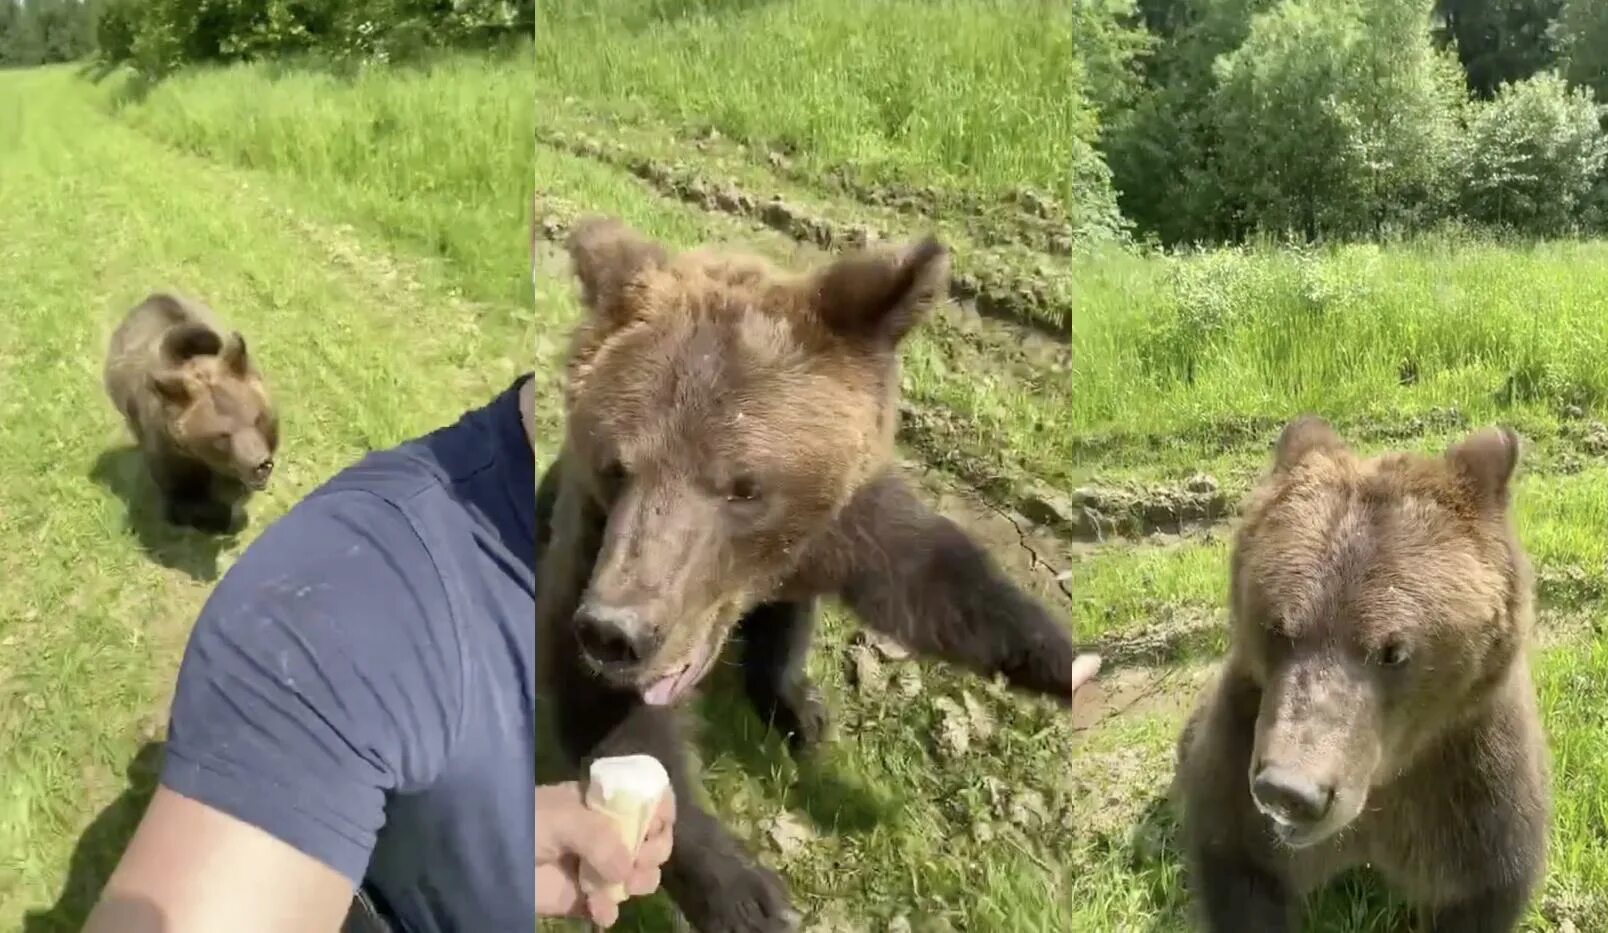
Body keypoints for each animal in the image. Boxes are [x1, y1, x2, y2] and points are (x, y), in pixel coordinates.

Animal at [103, 295, 279, 537]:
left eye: (257, 418)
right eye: (222, 435)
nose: (260, 464)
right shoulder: (169, 449)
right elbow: (184, 500)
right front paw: (221, 518)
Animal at [533, 215, 1099, 926]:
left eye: (744, 487)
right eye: (616, 466)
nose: (617, 631)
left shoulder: (847, 524)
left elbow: (941, 585)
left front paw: (1059, 661)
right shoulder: (592, 544)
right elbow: (607, 712)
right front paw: (745, 893)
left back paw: (800, 709)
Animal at [1177, 418, 1550, 933]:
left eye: (1394, 651)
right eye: (1277, 627)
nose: (1289, 791)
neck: (1381, 788)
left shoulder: (1468, 784)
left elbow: (1481, 885)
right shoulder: (1238, 765)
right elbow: (1240, 865)